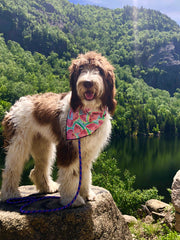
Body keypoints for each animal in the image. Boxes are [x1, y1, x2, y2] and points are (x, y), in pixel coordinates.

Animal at [0, 51, 116, 206]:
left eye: (99, 70)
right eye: (81, 69)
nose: (87, 82)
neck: (87, 110)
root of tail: (15, 105)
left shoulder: (88, 151)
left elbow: (85, 173)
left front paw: (86, 193)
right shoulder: (69, 147)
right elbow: (70, 175)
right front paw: (72, 199)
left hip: (42, 144)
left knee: (39, 168)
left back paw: (47, 187)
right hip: (18, 142)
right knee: (11, 168)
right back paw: (10, 194)